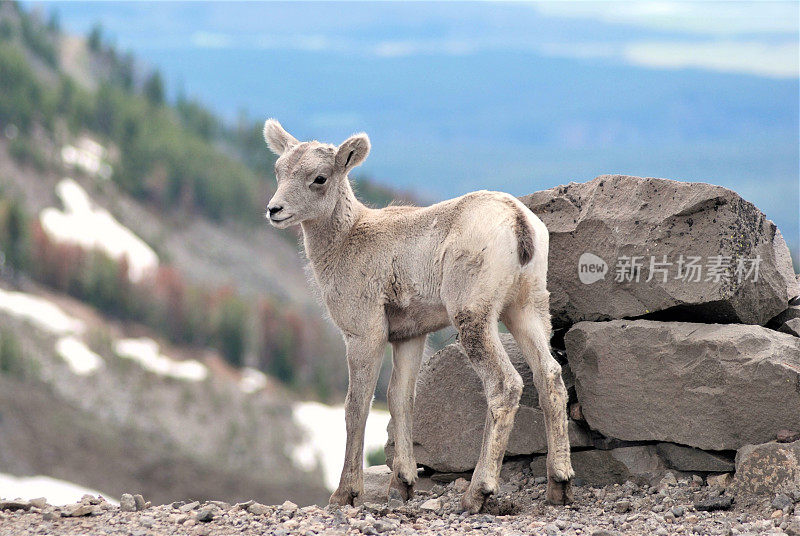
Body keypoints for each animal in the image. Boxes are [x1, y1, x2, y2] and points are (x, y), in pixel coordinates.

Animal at [266, 119, 572, 512]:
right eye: (279, 170)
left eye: (319, 178)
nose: (275, 210)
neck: (346, 242)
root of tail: (518, 221)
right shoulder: (410, 335)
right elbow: (400, 398)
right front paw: (405, 484)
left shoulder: (365, 333)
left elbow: (357, 406)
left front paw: (345, 494)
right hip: (526, 308)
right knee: (550, 376)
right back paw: (559, 485)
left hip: (473, 315)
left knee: (505, 385)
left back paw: (478, 493)